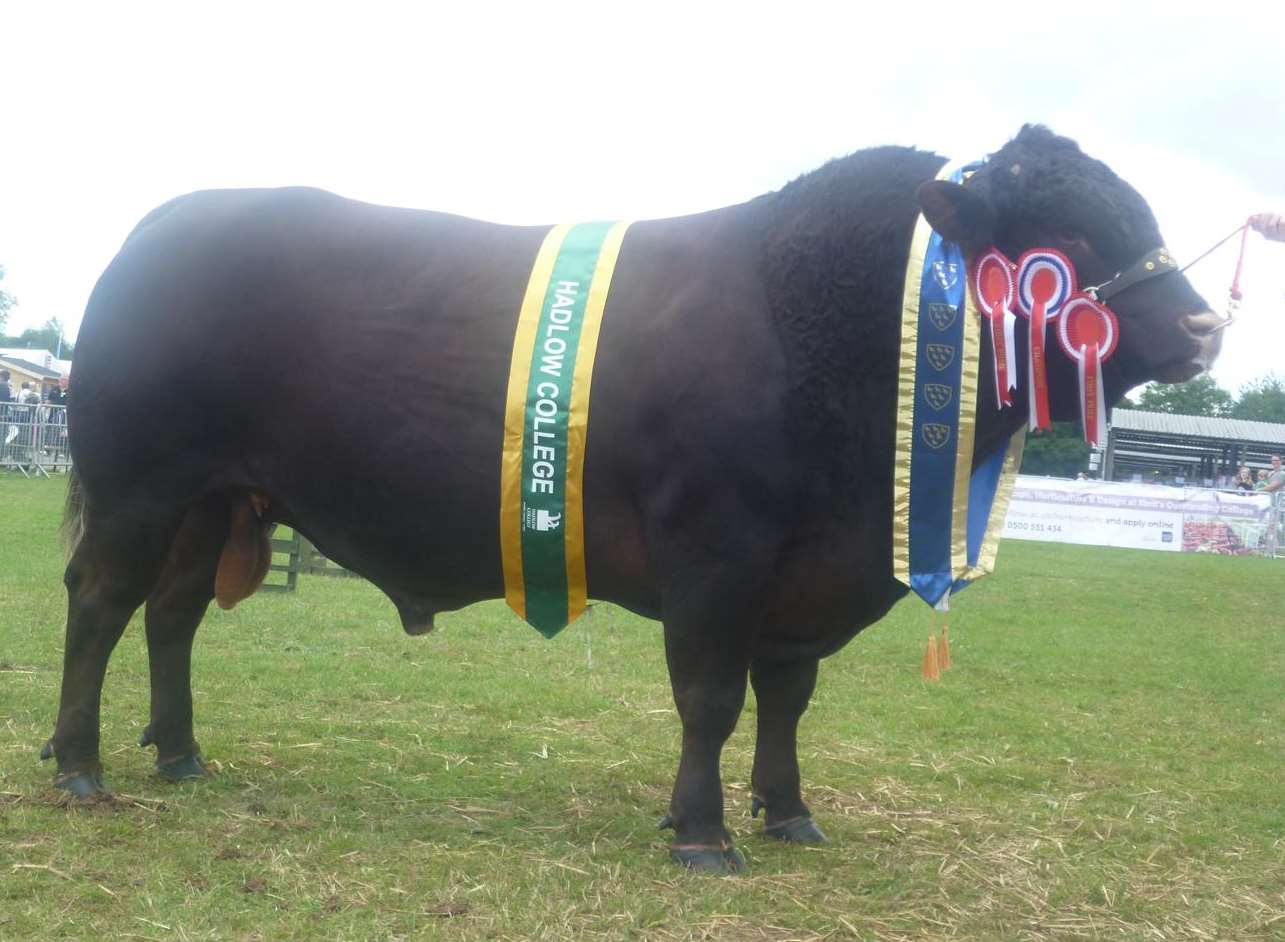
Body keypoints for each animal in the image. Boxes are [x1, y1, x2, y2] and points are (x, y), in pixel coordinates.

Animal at [42, 124, 1223, 868]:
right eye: (1069, 242)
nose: (1205, 328)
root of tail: (154, 233)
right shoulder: (716, 549)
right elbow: (709, 695)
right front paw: (702, 833)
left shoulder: (803, 578)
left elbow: (785, 698)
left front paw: (788, 812)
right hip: (139, 486)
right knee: (99, 604)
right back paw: (81, 767)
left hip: (215, 498)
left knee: (172, 615)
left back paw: (181, 755)